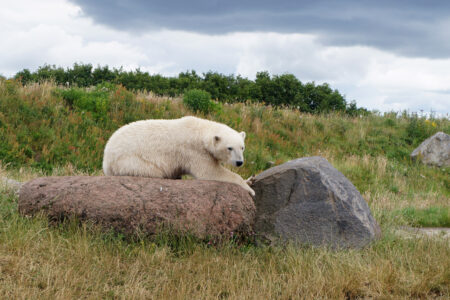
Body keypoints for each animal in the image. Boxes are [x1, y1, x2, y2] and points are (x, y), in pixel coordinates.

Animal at [103, 116, 255, 196]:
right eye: (230, 148)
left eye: (242, 147)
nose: (239, 162)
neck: (199, 131)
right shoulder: (194, 151)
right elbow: (209, 172)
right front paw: (250, 190)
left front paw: (249, 180)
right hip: (130, 160)